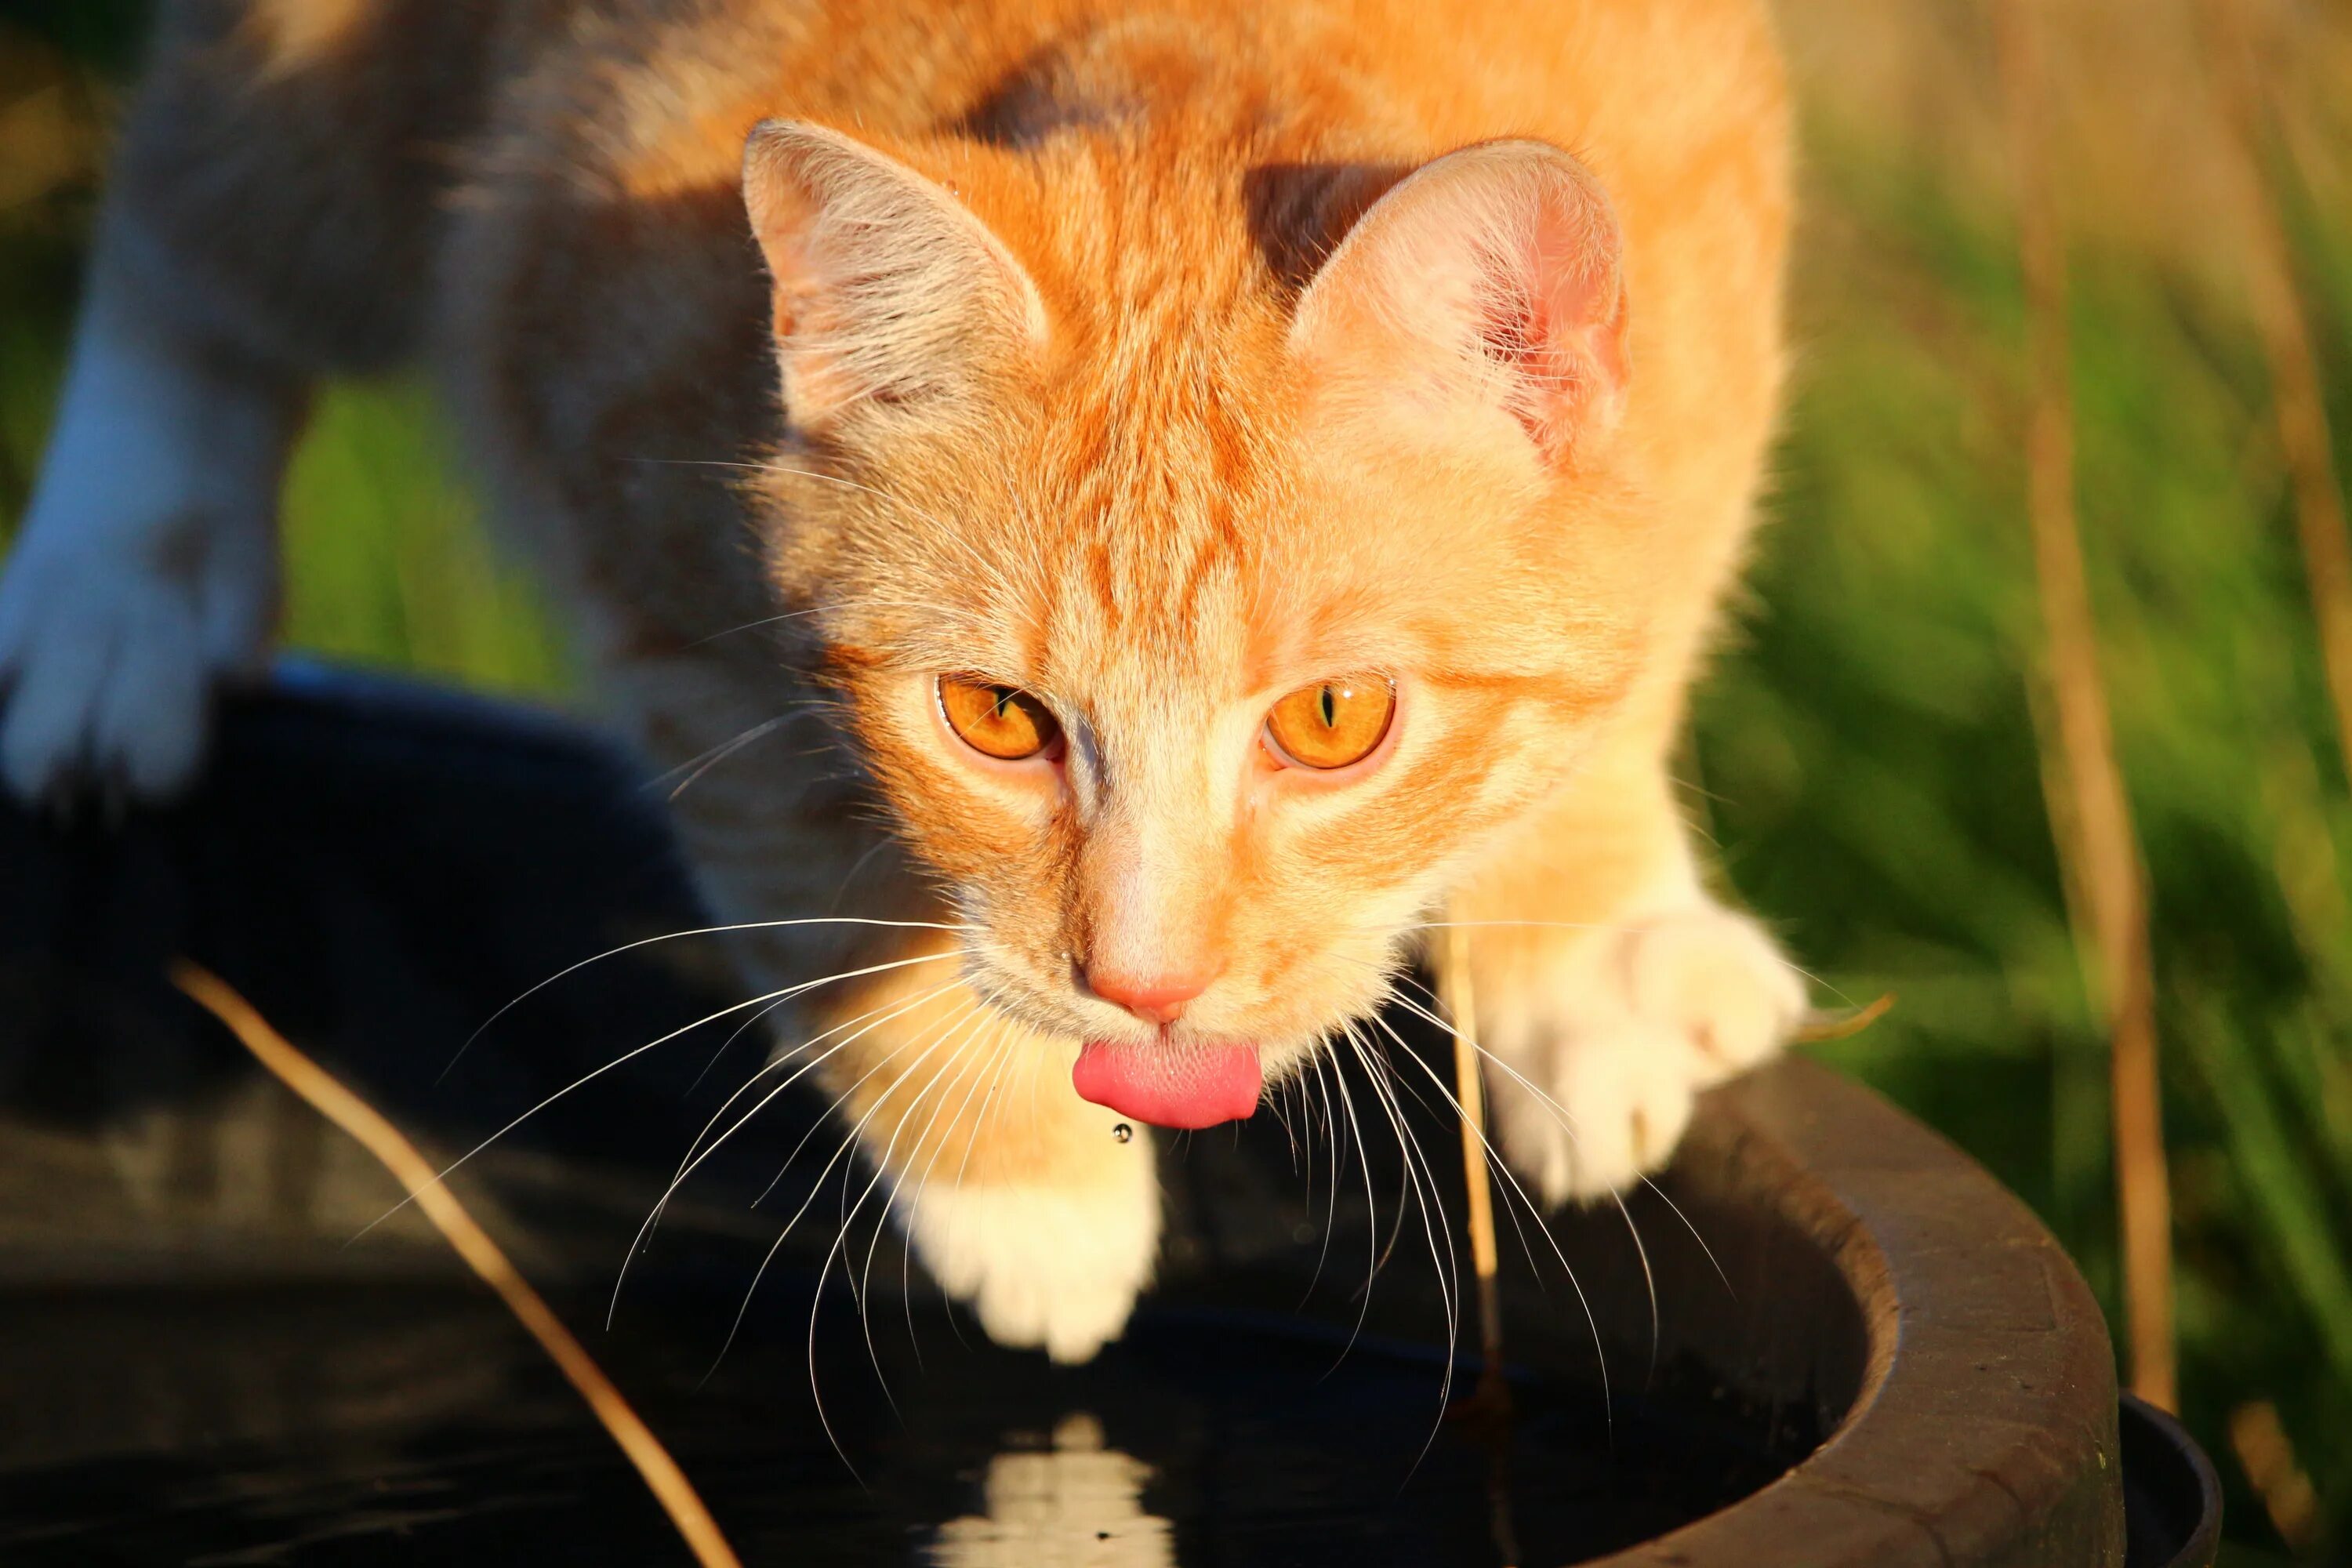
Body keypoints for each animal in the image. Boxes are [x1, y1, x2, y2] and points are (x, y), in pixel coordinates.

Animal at [0, 0, 1797, 1363]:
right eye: (996, 719)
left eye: (1334, 722)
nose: (1144, 989)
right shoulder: (637, 527)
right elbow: (816, 883)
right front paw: (1030, 1189)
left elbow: (1623, 668)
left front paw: (1592, 946)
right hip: (327, 105)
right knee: (193, 232)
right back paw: (114, 591)